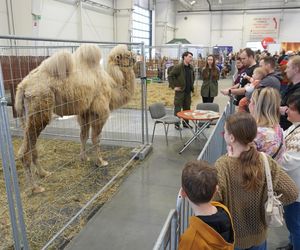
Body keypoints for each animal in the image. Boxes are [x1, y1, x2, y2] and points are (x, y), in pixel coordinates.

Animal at [14, 44, 136, 193]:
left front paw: (84, 158)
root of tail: (22, 88)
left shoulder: (85, 111)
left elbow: (83, 136)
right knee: (24, 152)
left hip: (26, 116)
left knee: (32, 145)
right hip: (39, 110)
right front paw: (100, 162)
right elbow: (96, 138)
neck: (112, 87)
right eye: (127, 55)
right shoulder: (100, 110)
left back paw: (44, 173)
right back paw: (36, 187)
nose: (136, 57)